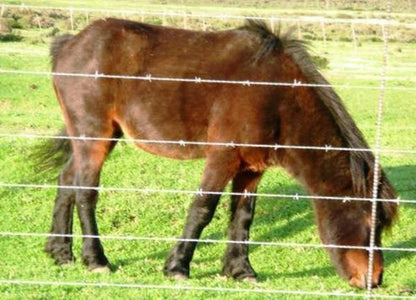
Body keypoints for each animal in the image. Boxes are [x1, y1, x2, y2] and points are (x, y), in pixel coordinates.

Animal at [40, 18, 398, 288]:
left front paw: (240, 270)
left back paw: (61, 252)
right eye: (371, 223)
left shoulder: (251, 168)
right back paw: (95, 259)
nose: (374, 279)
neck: (275, 96)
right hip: (94, 135)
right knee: (85, 191)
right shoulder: (223, 157)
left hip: (100, 136)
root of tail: (71, 43)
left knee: (66, 181)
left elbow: (242, 216)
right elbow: (203, 209)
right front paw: (177, 267)